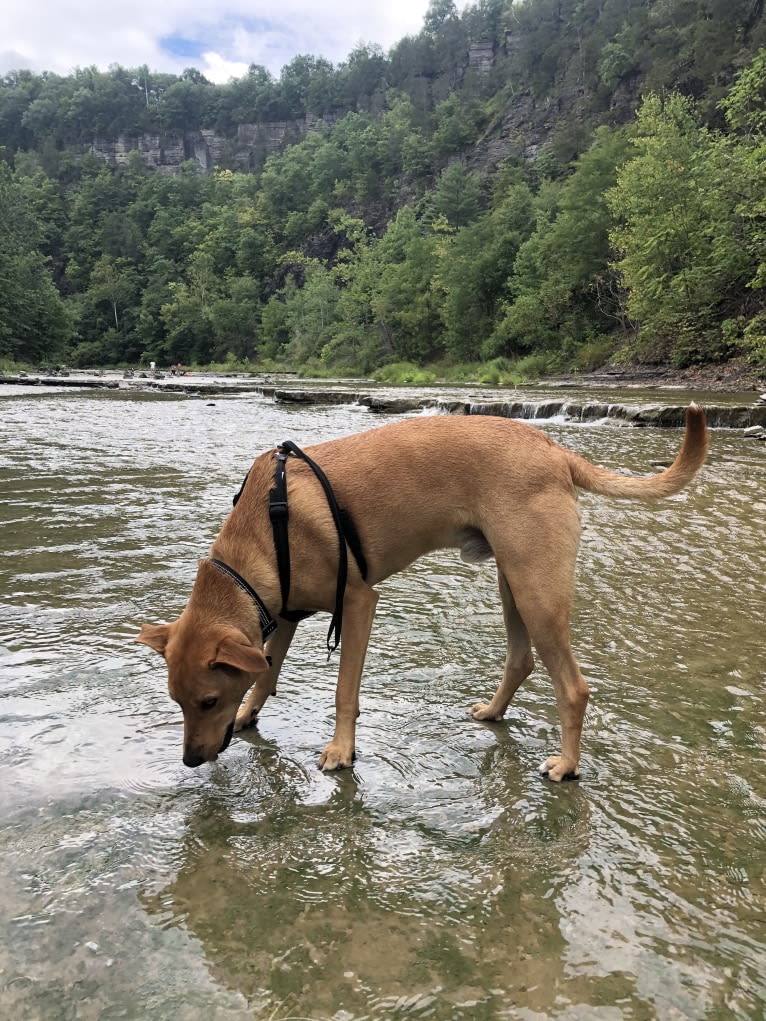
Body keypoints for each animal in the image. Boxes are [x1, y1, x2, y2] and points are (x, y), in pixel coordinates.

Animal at [136, 408, 706, 780]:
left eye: (209, 700)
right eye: (177, 701)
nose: (190, 761)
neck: (265, 530)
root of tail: (554, 448)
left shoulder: (357, 603)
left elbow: (344, 691)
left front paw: (341, 751)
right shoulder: (283, 617)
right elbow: (267, 673)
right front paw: (250, 713)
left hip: (537, 592)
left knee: (573, 687)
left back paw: (566, 765)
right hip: (513, 584)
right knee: (520, 660)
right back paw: (494, 712)